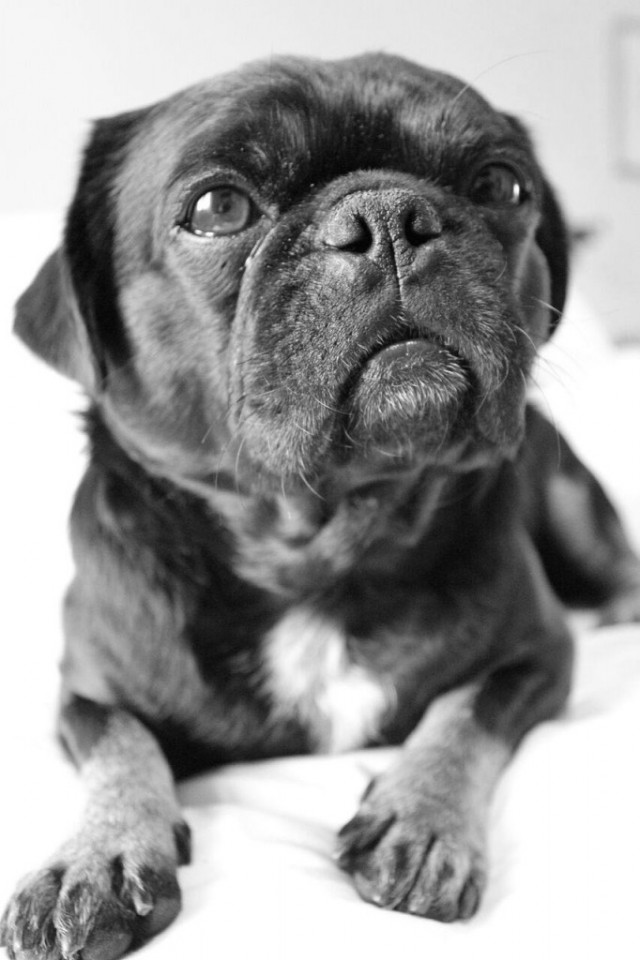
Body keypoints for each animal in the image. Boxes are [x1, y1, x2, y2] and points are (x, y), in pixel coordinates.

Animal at [1, 52, 640, 960]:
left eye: (501, 185)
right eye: (218, 207)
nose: (391, 216)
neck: (321, 546)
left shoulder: (537, 652)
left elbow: (465, 713)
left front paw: (422, 819)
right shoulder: (85, 692)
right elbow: (120, 746)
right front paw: (95, 855)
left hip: (569, 497)